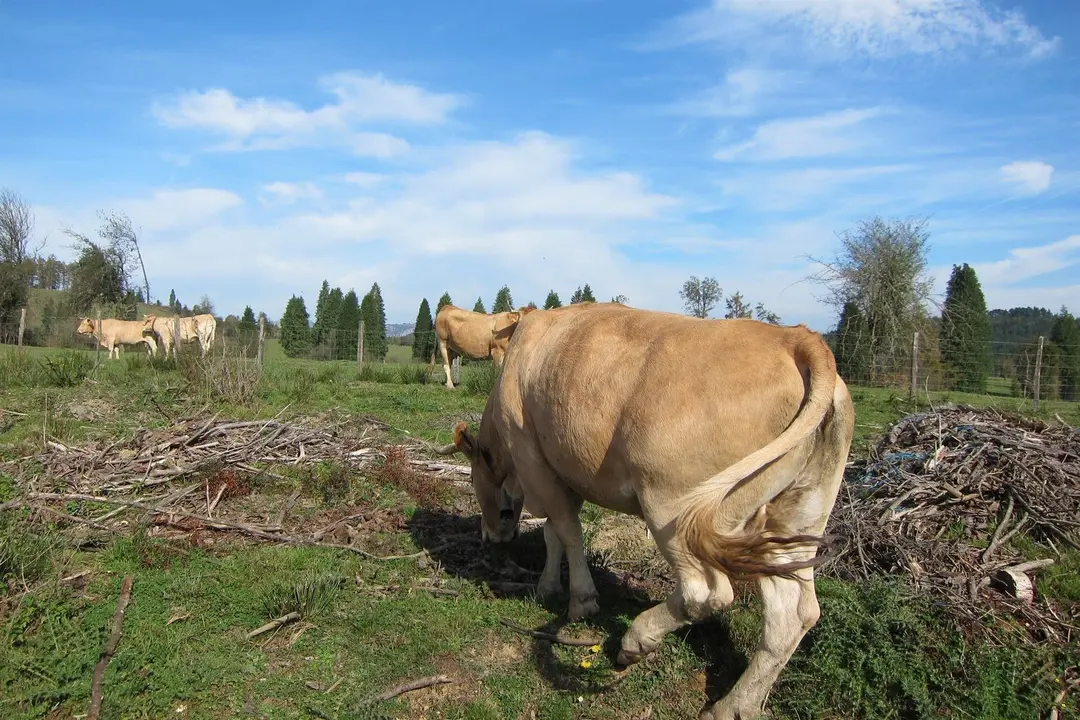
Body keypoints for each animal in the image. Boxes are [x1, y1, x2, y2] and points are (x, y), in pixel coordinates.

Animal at [434, 302, 854, 720]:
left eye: (476, 481)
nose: (491, 536)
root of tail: (795, 338)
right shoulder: (564, 470)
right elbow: (554, 532)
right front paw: (549, 586)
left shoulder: (533, 458)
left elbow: (566, 530)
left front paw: (581, 599)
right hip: (795, 516)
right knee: (793, 614)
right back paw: (734, 705)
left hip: (673, 504)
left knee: (705, 592)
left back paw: (637, 639)